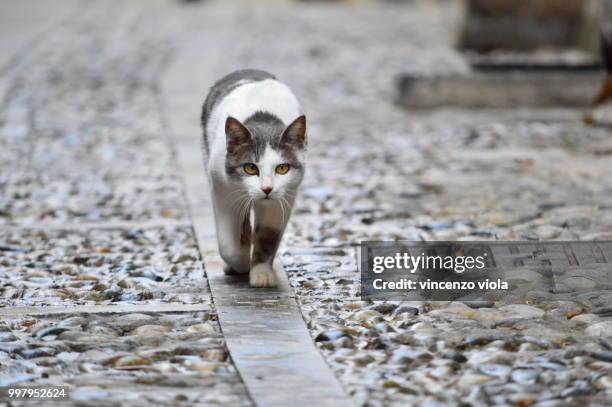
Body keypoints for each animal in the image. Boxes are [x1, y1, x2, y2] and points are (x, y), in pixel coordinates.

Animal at [201, 69, 306, 286]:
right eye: (250, 168)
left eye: (282, 168)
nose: (267, 189)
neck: (263, 121)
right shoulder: (223, 191)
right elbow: (229, 245)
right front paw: (240, 262)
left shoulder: (283, 199)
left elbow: (268, 236)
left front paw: (261, 272)